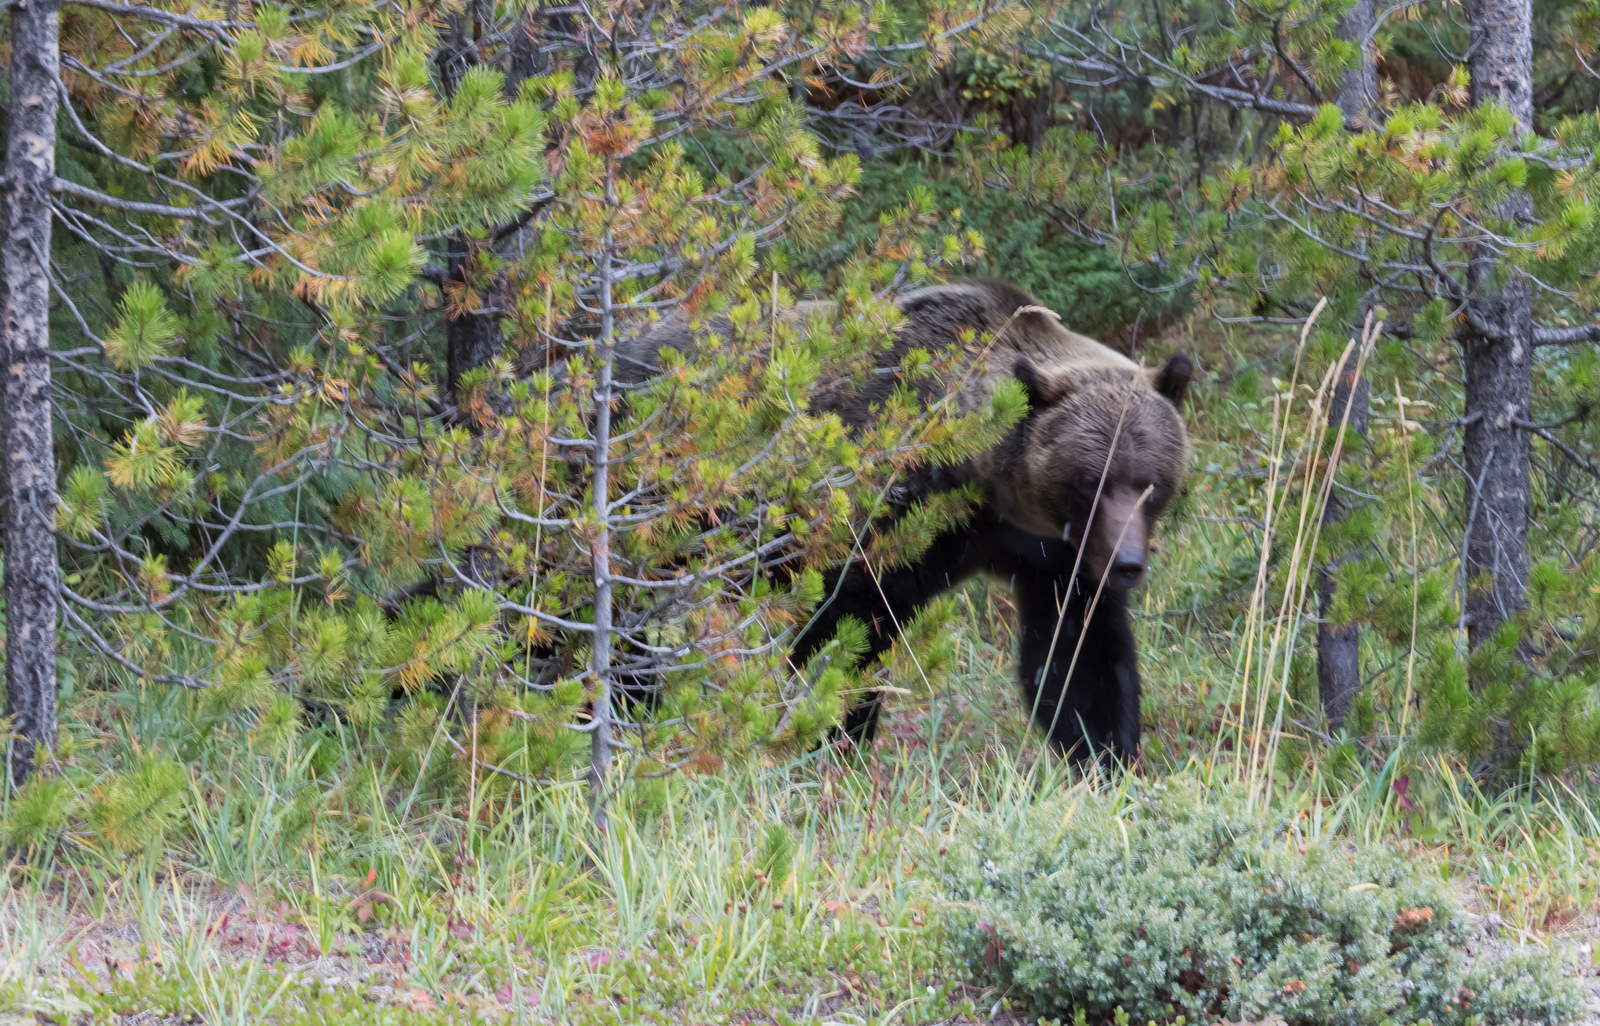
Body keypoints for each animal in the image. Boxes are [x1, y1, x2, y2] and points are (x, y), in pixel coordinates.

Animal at [617, 280, 1196, 761]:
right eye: (1089, 481)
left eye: (1150, 483)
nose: (1126, 562)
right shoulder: (889, 513)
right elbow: (845, 631)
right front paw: (834, 743)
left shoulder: (1051, 556)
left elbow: (1078, 650)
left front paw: (1108, 756)